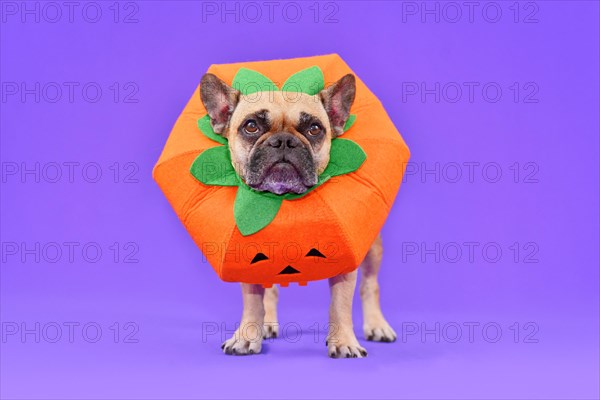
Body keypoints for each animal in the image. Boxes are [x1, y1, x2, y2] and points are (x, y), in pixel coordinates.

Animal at [199, 72, 396, 360]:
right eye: (251, 126)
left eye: (314, 129)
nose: (283, 141)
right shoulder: (248, 261)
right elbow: (253, 301)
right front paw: (247, 336)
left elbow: (340, 304)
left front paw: (343, 342)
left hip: (372, 247)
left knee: (370, 285)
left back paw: (377, 325)